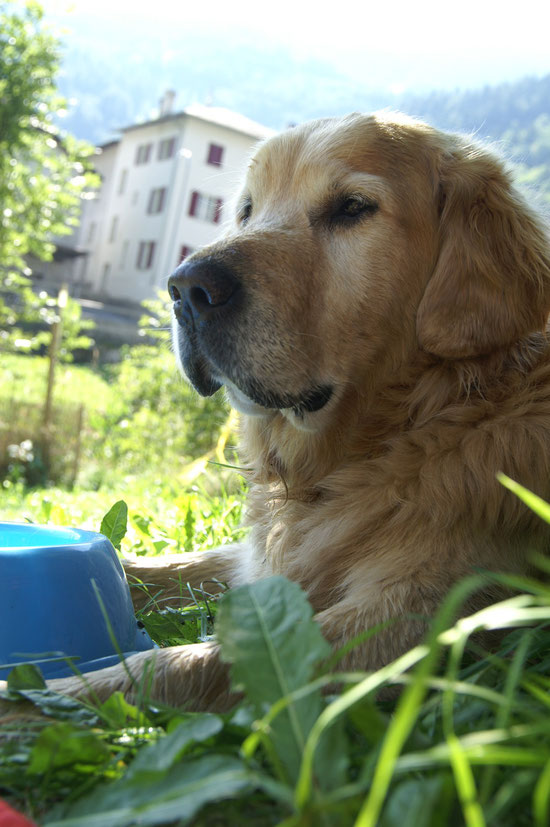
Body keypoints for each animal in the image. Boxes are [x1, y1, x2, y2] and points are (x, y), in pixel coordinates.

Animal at [32, 113, 550, 712]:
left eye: (352, 207)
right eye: (246, 210)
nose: (184, 289)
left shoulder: (419, 621)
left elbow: (189, 665)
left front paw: (47, 697)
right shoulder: (257, 564)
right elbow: (147, 567)